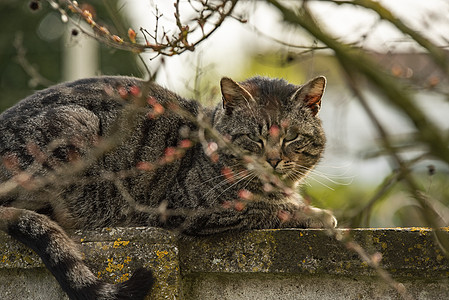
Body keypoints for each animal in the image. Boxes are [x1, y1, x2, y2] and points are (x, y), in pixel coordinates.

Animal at [0, 74, 336, 298]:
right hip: (73, 126)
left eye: (291, 137)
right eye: (255, 138)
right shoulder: (196, 206)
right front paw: (317, 215)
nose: (274, 160)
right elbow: (268, 208)